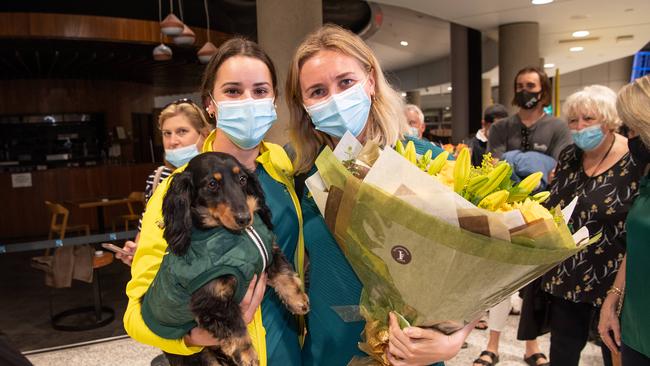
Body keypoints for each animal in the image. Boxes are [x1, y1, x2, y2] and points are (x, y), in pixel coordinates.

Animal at [159, 152, 306, 366]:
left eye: (242, 179)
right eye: (212, 184)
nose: (245, 218)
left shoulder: (267, 252)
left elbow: (283, 273)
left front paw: (298, 300)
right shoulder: (211, 301)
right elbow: (234, 326)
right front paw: (247, 355)